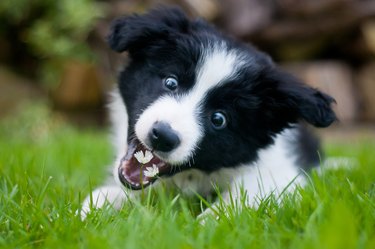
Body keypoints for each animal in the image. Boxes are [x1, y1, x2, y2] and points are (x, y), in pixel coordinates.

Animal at [81, 6, 336, 218]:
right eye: (170, 82)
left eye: (218, 119)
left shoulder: (283, 177)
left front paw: (205, 224)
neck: (195, 175)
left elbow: (244, 198)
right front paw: (91, 209)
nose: (163, 136)